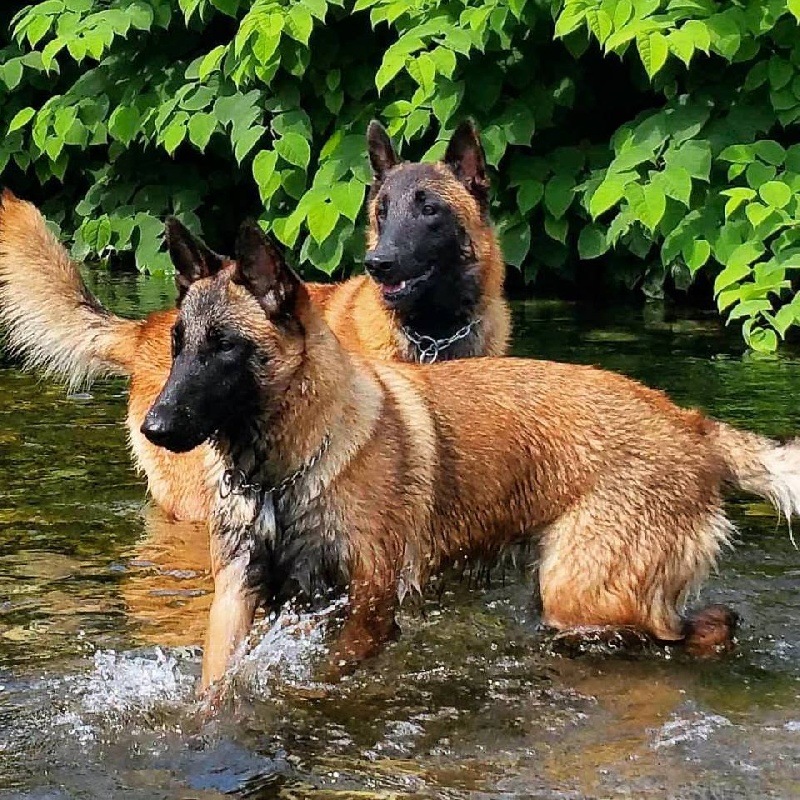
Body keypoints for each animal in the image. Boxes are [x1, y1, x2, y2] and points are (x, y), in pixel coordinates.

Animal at [144, 222, 800, 692]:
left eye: (224, 348)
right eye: (179, 346)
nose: (154, 427)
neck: (286, 471)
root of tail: (692, 426)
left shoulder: (367, 609)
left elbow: (332, 672)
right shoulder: (237, 597)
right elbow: (213, 688)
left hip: (581, 593)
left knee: (700, 627)